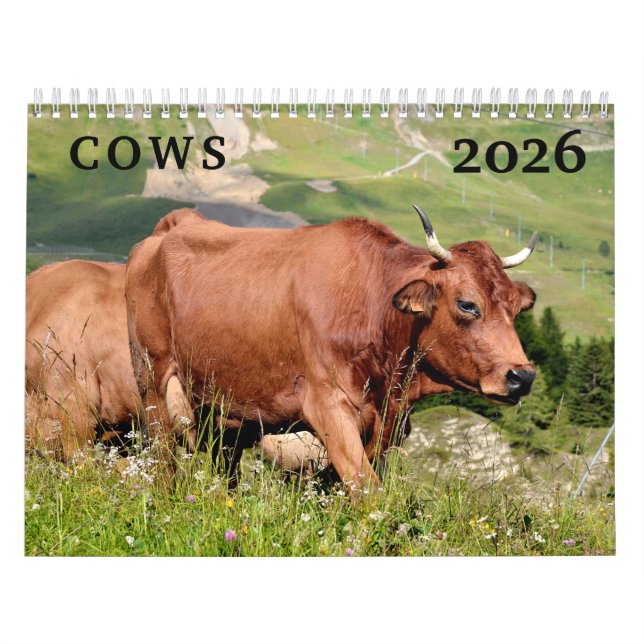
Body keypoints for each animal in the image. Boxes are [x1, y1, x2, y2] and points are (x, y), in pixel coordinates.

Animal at [125, 205, 537, 493]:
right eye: (468, 304)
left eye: (517, 307)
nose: (523, 376)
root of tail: (174, 225)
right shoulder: (328, 406)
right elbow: (367, 490)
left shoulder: (386, 425)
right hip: (153, 383)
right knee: (163, 461)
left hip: (225, 410)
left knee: (224, 470)